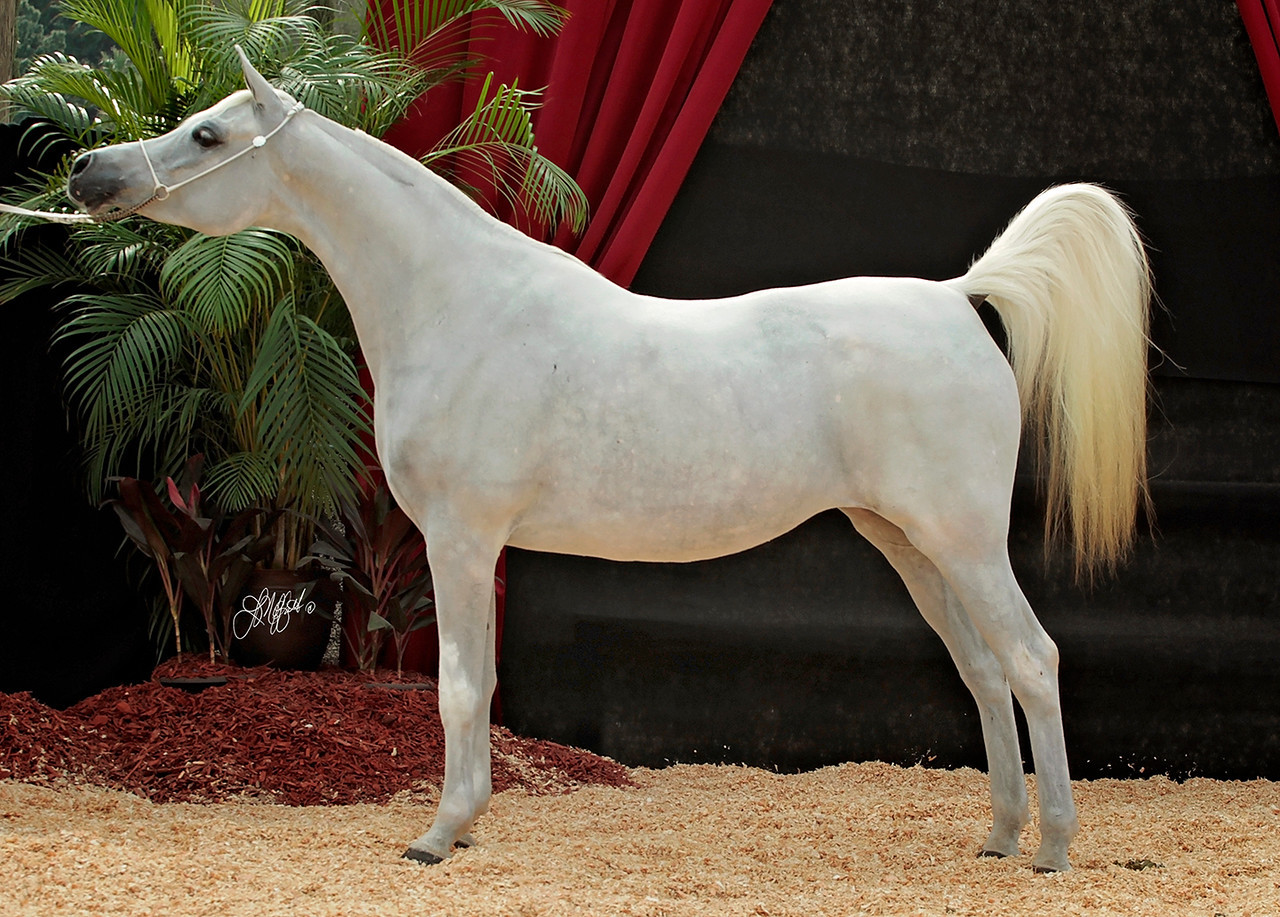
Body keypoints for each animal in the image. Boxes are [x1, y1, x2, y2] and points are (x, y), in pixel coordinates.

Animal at [66, 50, 1151, 873]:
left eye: (209, 137)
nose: (88, 174)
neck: (460, 303)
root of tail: (957, 296)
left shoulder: (461, 539)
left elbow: (460, 686)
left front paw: (439, 833)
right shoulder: (474, 544)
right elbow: (475, 686)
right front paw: (462, 824)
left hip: (962, 539)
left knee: (1032, 658)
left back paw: (1053, 847)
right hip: (909, 542)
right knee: (982, 670)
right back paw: (998, 836)